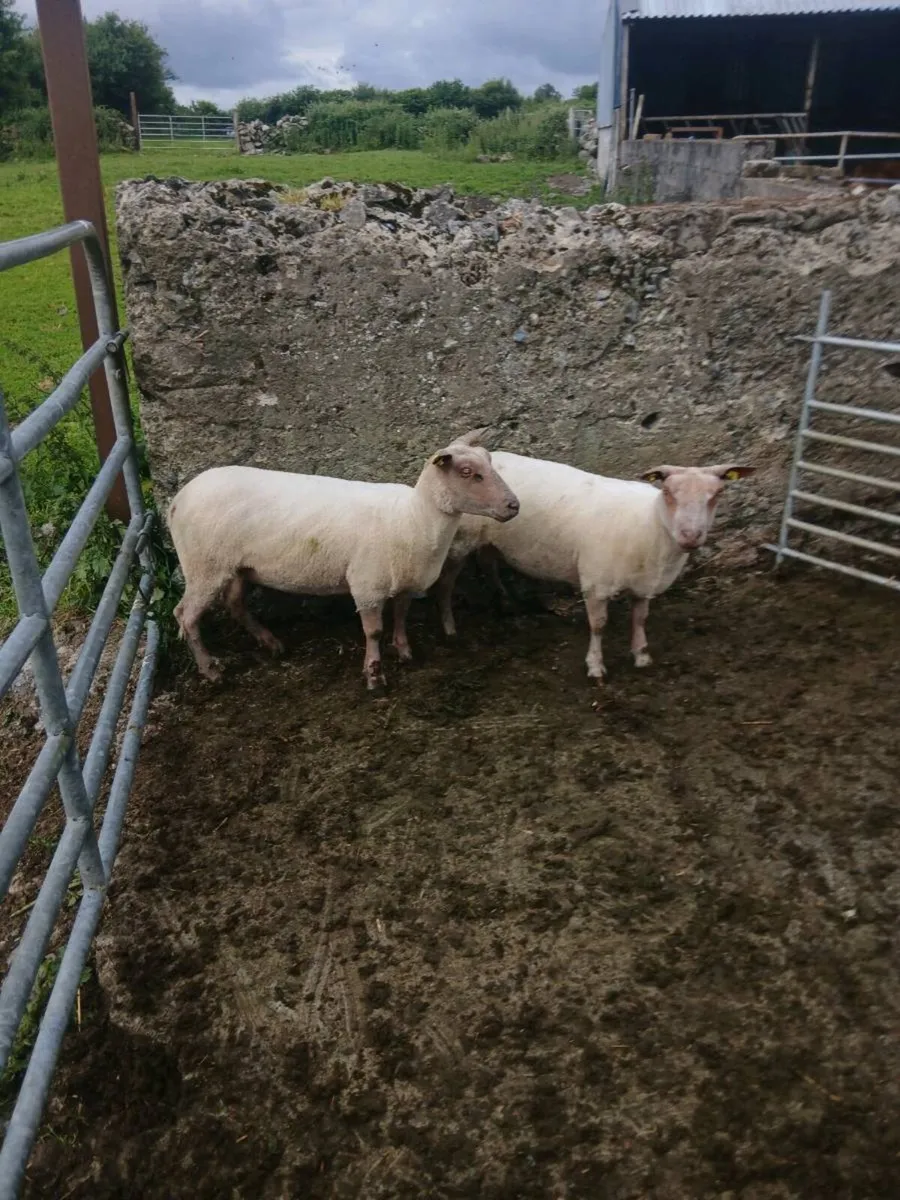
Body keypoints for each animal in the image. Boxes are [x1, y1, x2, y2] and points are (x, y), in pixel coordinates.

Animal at [167, 430, 520, 689]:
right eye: (467, 473)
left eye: (490, 462)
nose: (514, 505)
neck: (413, 519)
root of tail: (178, 499)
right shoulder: (367, 585)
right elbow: (374, 632)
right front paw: (374, 675)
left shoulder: (405, 579)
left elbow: (402, 614)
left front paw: (404, 651)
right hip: (204, 565)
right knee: (185, 615)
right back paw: (212, 671)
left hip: (236, 565)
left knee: (235, 603)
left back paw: (271, 643)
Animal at [435, 453, 755, 683]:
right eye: (668, 493)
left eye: (717, 494)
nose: (691, 536)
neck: (650, 525)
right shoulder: (596, 584)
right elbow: (599, 626)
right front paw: (596, 666)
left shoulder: (644, 586)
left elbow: (640, 618)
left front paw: (641, 655)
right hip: (461, 540)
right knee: (448, 582)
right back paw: (450, 627)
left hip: (489, 539)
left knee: (488, 562)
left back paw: (505, 600)